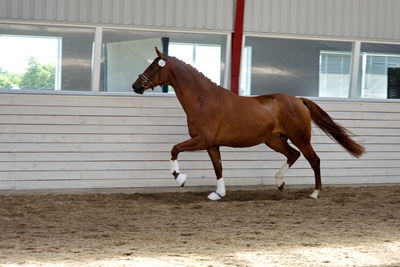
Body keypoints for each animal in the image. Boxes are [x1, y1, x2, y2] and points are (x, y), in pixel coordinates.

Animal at [132, 48, 366, 201]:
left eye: (153, 66)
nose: (136, 86)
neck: (203, 100)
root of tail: (298, 100)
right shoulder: (212, 144)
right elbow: (218, 167)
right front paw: (218, 193)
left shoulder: (202, 140)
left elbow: (174, 149)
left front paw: (180, 178)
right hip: (275, 140)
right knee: (293, 155)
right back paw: (279, 183)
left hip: (300, 138)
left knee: (314, 160)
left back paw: (315, 192)